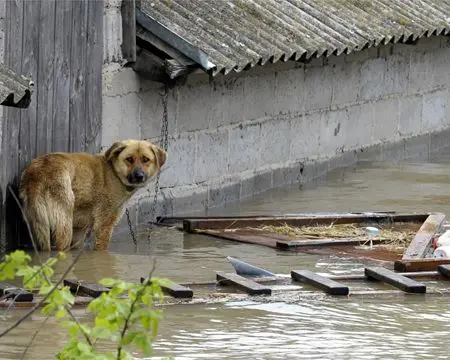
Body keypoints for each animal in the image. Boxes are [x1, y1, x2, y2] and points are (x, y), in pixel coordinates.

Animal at [18, 139, 167, 252]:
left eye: (146, 159)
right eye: (129, 159)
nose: (139, 176)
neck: (114, 172)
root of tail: (40, 171)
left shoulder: (79, 230)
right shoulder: (104, 226)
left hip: (40, 226)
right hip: (64, 225)